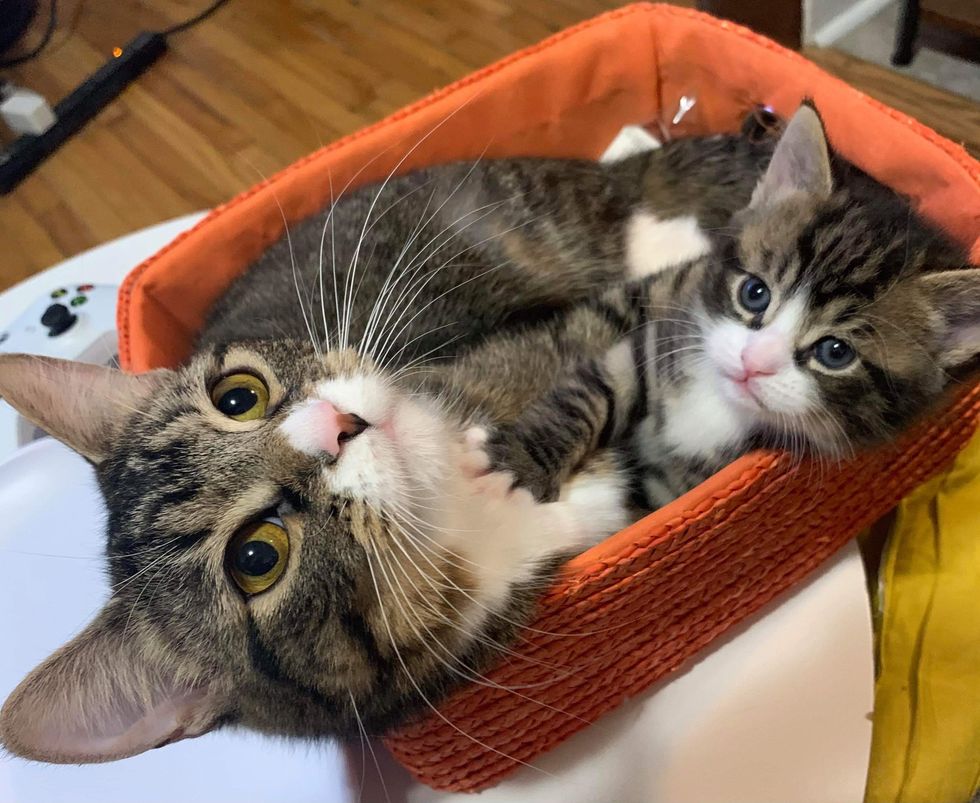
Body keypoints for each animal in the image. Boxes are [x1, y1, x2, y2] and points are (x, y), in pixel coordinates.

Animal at [482, 102, 980, 508]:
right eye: (754, 292)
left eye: (836, 352)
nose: (752, 363)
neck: (718, 398)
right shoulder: (665, 320)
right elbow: (596, 388)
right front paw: (519, 464)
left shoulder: (676, 485)